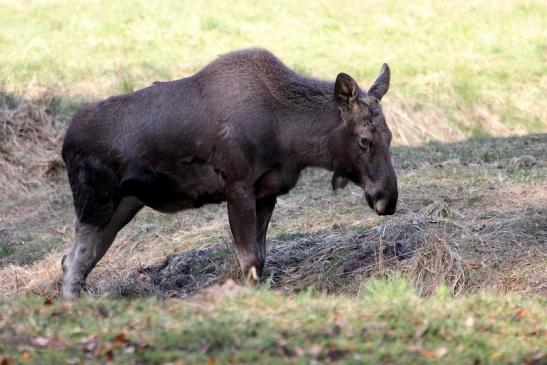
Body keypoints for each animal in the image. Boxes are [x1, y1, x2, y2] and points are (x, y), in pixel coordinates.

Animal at [61, 48, 398, 298]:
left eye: (390, 135)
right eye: (364, 140)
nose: (388, 198)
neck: (288, 136)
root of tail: (66, 141)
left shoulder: (267, 191)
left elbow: (260, 258)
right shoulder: (237, 185)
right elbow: (248, 259)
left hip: (123, 204)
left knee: (74, 261)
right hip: (95, 202)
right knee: (74, 262)